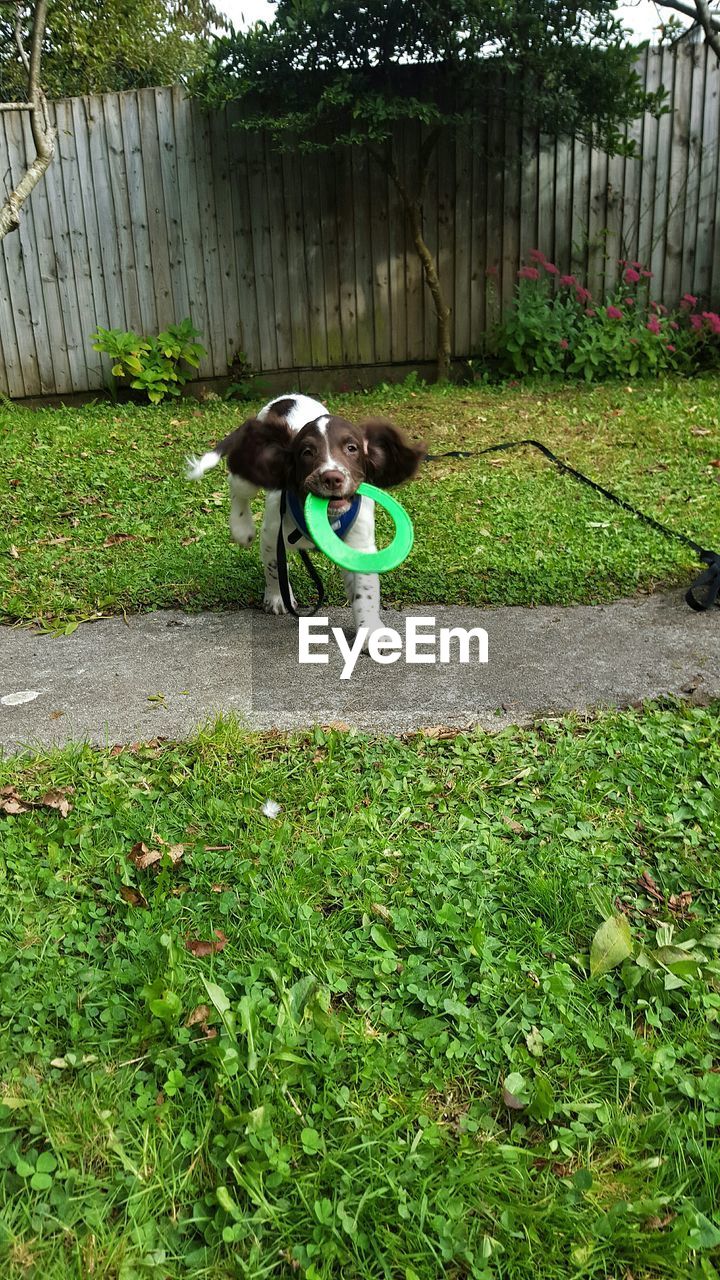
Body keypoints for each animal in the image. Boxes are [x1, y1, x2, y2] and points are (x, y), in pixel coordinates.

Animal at [184, 394, 422, 640]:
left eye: (352, 448)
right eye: (307, 452)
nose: (332, 478)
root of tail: (286, 398)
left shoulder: (359, 546)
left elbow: (365, 591)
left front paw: (370, 631)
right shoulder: (272, 536)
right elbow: (274, 567)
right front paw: (277, 597)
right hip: (253, 472)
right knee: (237, 486)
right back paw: (242, 528)